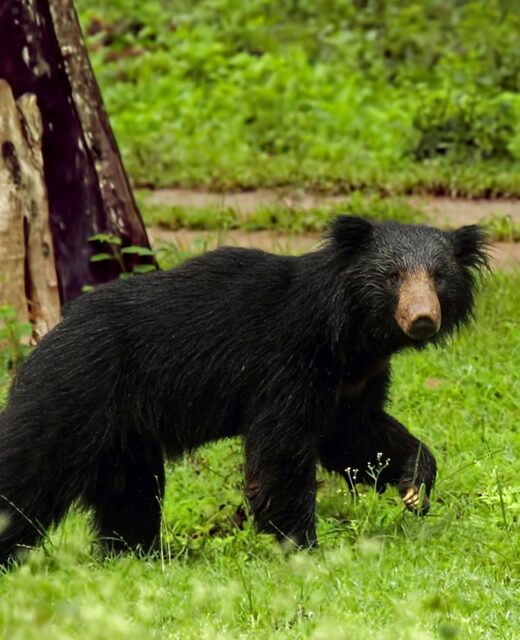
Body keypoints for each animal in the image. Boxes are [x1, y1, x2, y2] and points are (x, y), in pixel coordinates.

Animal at [0, 216, 489, 565]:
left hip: (125, 436)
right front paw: (302, 548)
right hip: (71, 398)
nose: (423, 318)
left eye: (439, 276)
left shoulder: (353, 380)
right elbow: (282, 455)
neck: (350, 338)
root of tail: (45, 339)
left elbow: (355, 435)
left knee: (131, 495)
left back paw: (137, 555)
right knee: (26, 477)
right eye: (392, 276)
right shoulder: (288, 364)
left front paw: (414, 487)